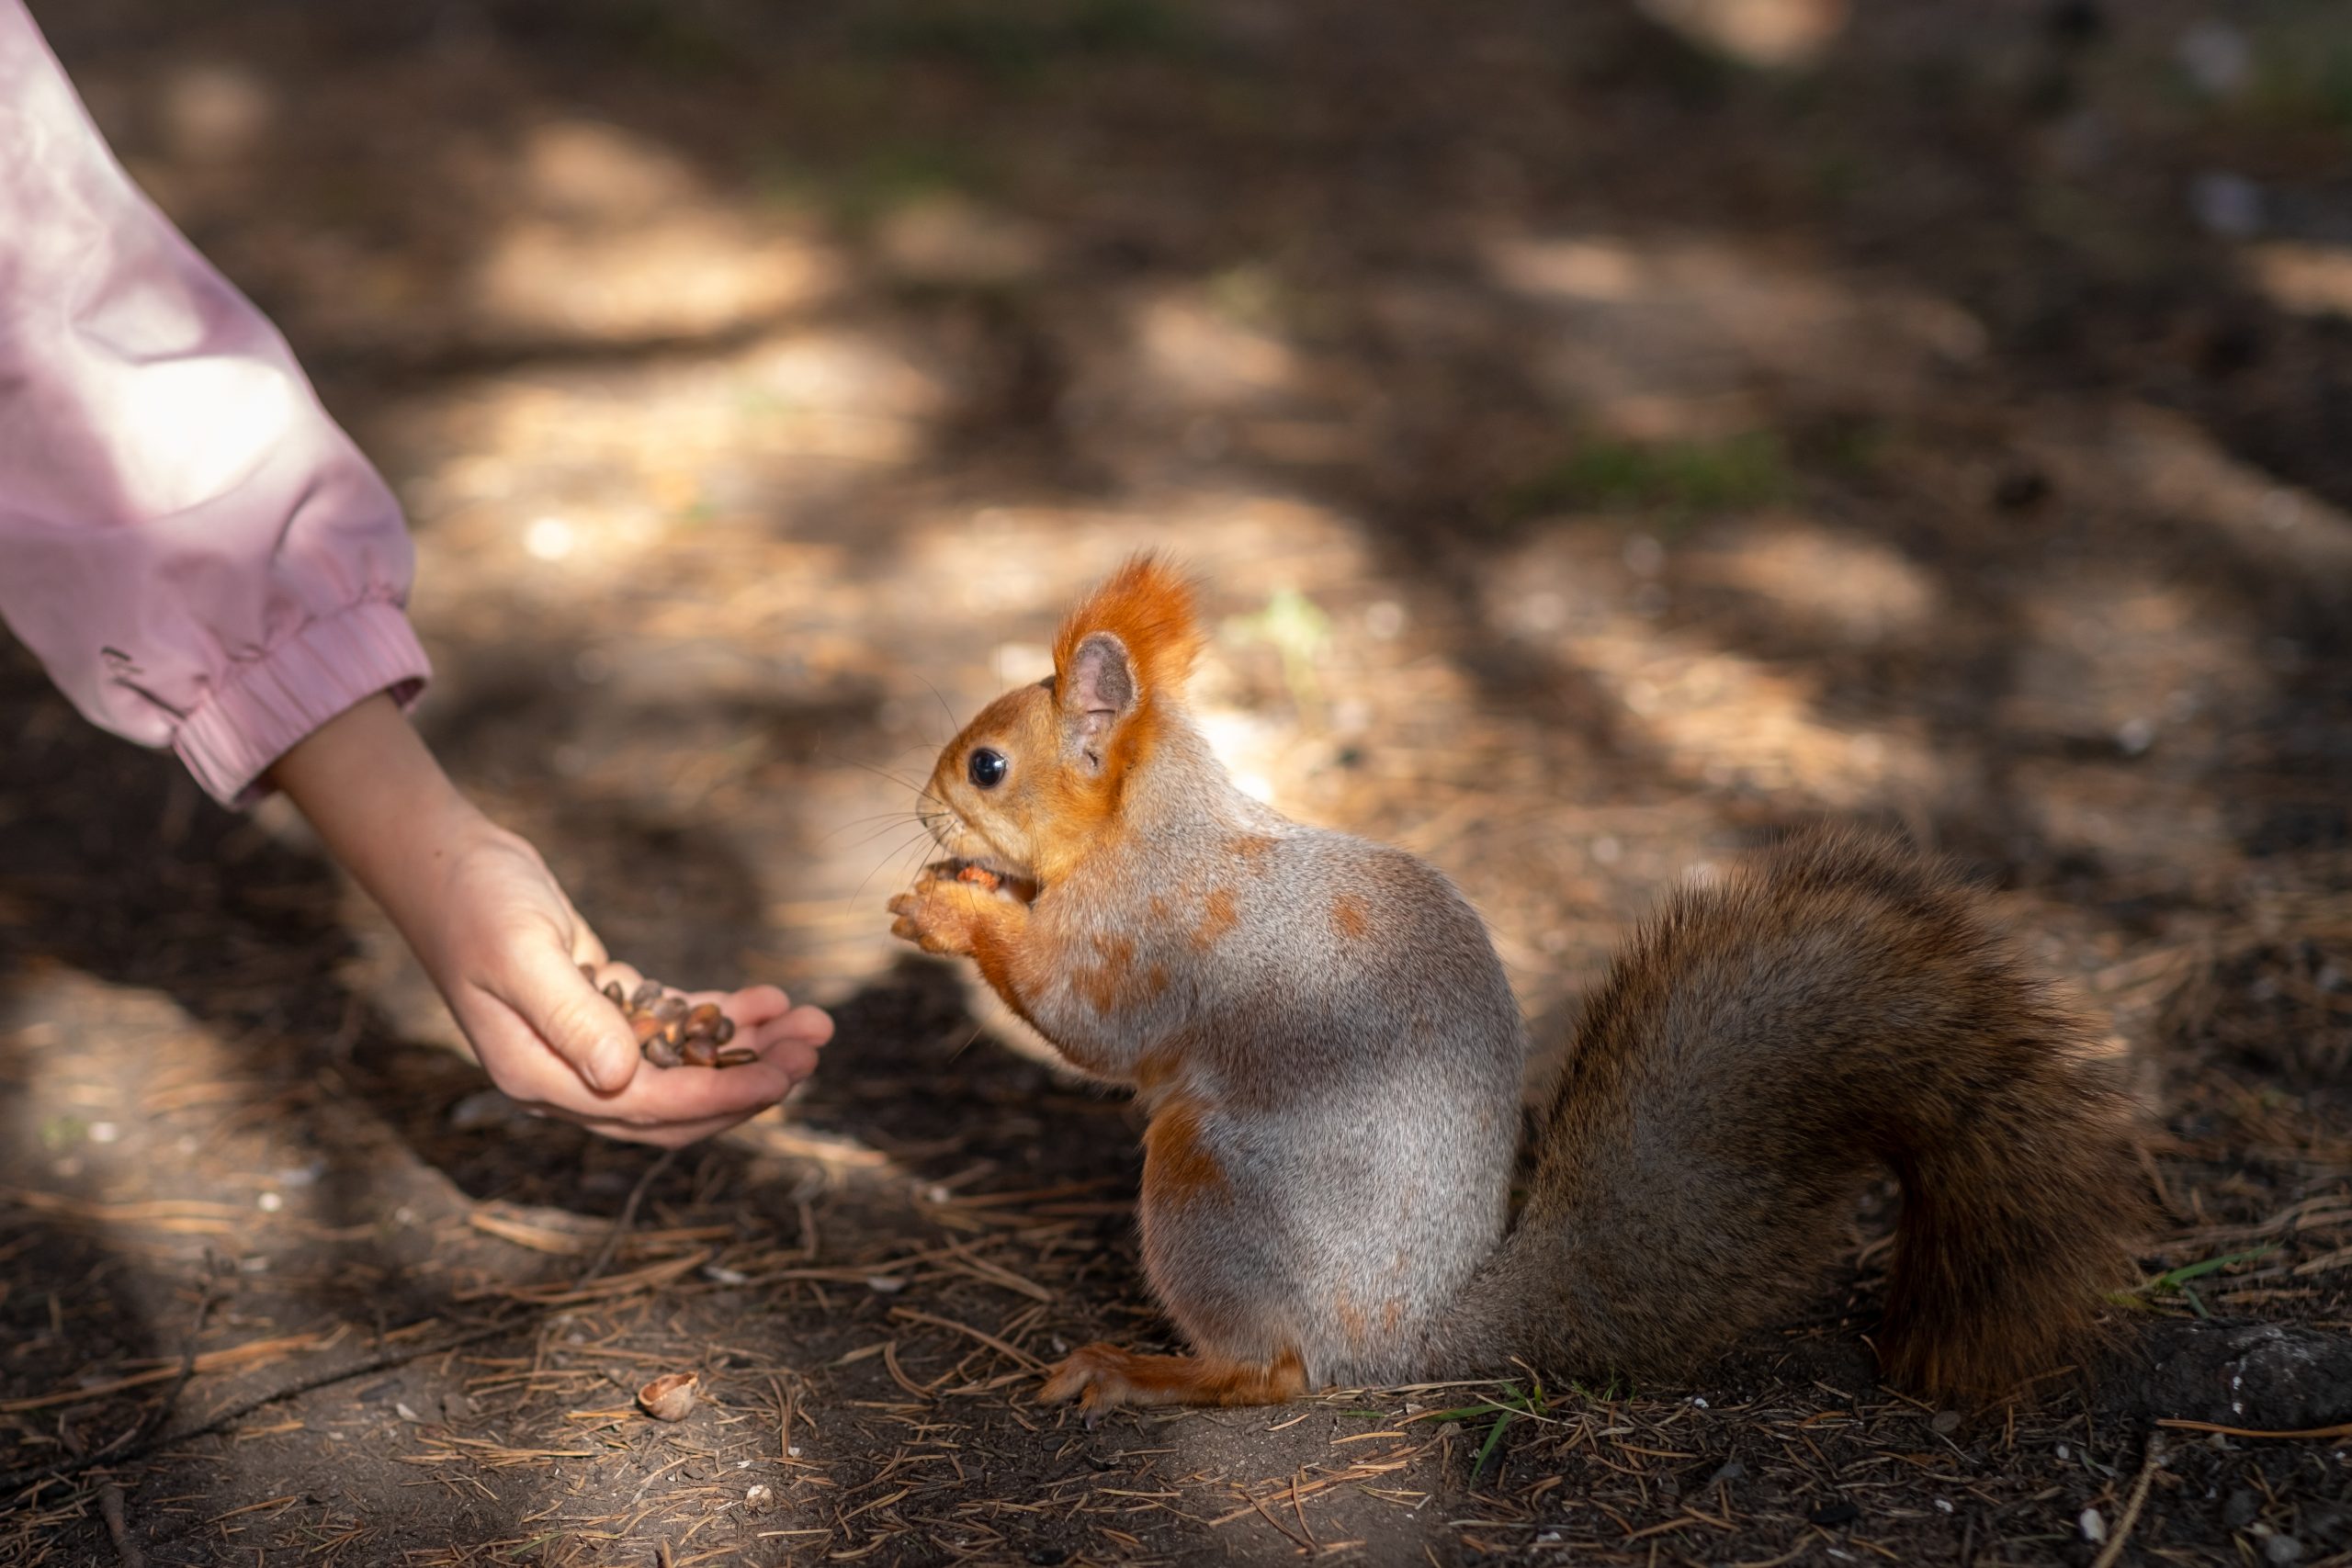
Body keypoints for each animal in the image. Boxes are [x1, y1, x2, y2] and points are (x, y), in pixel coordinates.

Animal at [887, 555, 2145, 1412]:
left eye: (988, 766)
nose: (920, 810)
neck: (1155, 827)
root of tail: (1410, 1342)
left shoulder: (1148, 932)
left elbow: (1087, 1020)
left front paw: (951, 910)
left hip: (1206, 1190)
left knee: (1277, 1373)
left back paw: (1142, 1370)